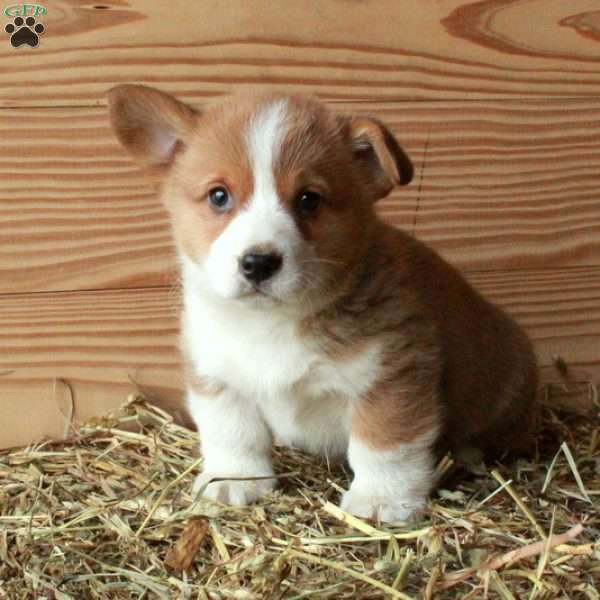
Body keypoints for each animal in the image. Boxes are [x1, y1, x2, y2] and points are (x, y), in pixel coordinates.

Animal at [109, 86, 540, 524]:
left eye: (309, 199)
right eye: (218, 196)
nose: (258, 262)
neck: (271, 322)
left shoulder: (390, 378)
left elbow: (384, 447)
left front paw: (382, 500)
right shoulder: (216, 375)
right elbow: (232, 432)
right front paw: (234, 480)